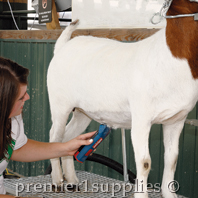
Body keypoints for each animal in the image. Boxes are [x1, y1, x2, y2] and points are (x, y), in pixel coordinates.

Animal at [46, 0, 198, 197]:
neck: (172, 57)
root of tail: (62, 47)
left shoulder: (177, 119)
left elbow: (172, 159)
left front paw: (169, 194)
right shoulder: (141, 117)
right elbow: (145, 162)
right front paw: (142, 195)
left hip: (82, 112)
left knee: (68, 139)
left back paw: (72, 181)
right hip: (59, 103)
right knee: (54, 137)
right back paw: (57, 181)